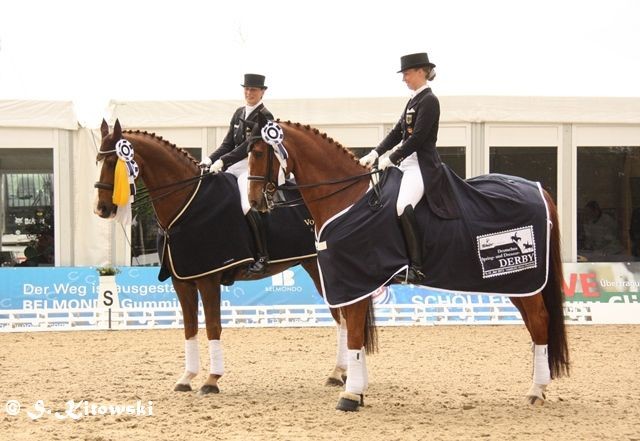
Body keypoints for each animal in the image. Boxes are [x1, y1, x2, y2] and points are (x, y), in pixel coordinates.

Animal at [92, 119, 348, 396]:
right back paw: (342, 372)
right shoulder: (182, 280)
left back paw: (339, 372)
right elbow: (189, 328)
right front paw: (186, 378)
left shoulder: (209, 279)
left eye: (112, 162)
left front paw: (211, 380)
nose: (101, 209)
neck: (187, 202)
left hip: (318, 267)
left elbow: (213, 326)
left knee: (341, 316)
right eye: (98, 160)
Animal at [246, 119, 568, 410]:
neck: (347, 199)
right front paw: (357, 392)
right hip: (518, 282)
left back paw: (536, 390)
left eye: (259, 153)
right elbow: (354, 335)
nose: (254, 203)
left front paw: (350, 395)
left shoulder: (356, 278)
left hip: (524, 277)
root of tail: (539, 189)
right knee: (534, 323)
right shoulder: (352, 282)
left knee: (539, 320)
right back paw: (538, 387)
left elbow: (354, 336)